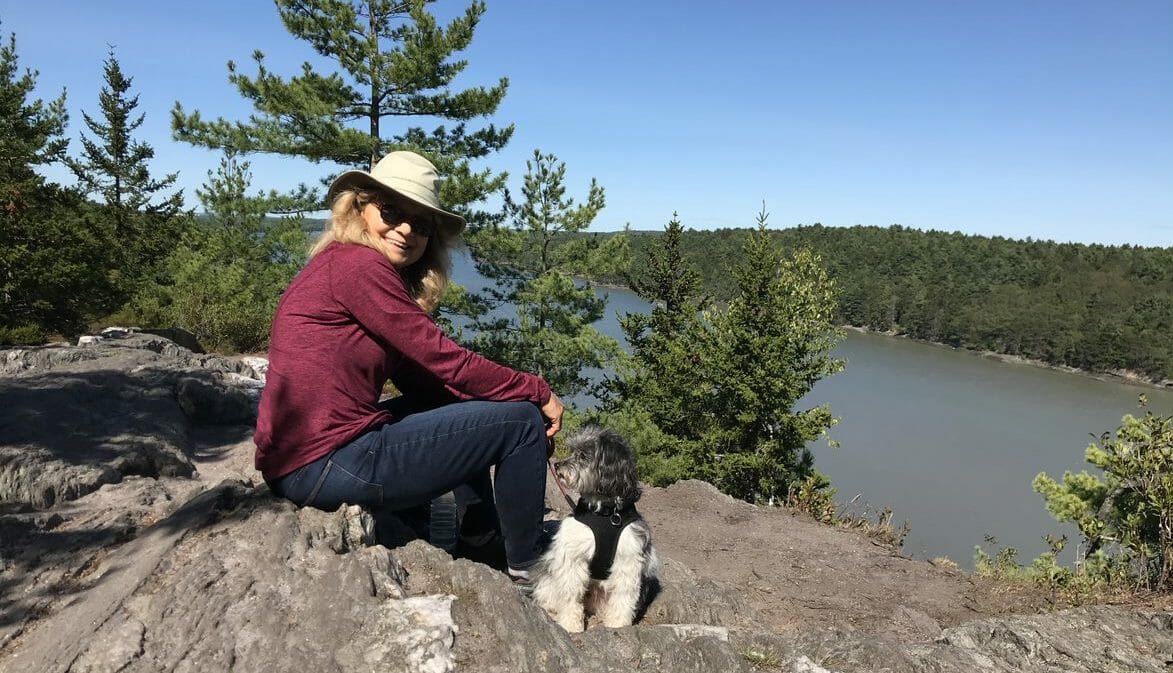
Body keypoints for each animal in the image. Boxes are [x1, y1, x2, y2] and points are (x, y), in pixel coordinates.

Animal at [532, 426, 661, 633]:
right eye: (572, 451)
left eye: (583, 455)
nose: (558, 465)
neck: (606, 513)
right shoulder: (573, 556)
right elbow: (570, 595)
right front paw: (570, 625)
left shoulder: (628, 559)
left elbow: (623, 598)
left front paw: (618, 625)